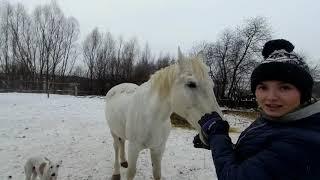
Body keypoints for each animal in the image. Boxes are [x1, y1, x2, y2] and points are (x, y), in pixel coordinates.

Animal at [105, 48, 222, 179]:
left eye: (212, 85)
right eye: (191, 84)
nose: (219, 125)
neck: (152, 118)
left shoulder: (158, 149)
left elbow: (157, 173)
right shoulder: (133, 148)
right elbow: (131, 173)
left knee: (122, 143)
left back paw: (124, 161)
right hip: (113, 131)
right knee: (116, 146)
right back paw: (116, 172)